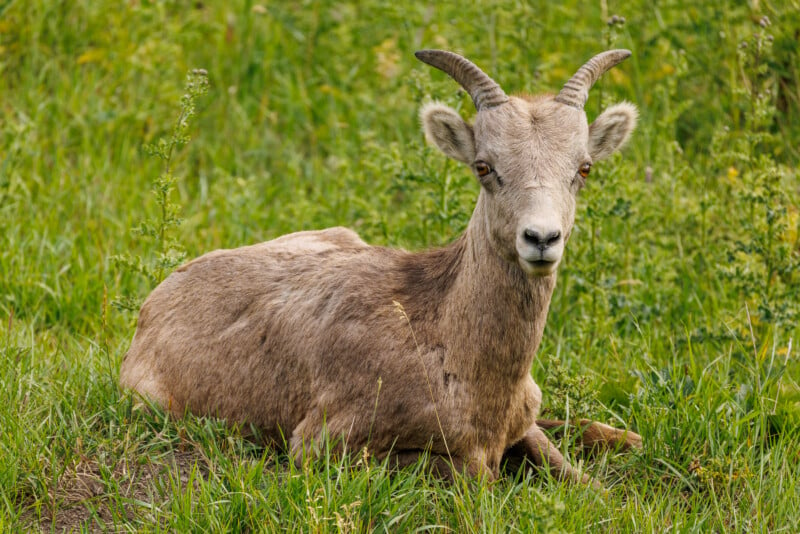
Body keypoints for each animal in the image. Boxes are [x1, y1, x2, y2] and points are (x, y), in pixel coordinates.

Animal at [120, 49, 644, 486]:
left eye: (583, 169)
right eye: (483, 167)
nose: (541, 239)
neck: (460, 360)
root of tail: (153, 305)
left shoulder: (523, 423)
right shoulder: (326, 446)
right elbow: (477, 474)